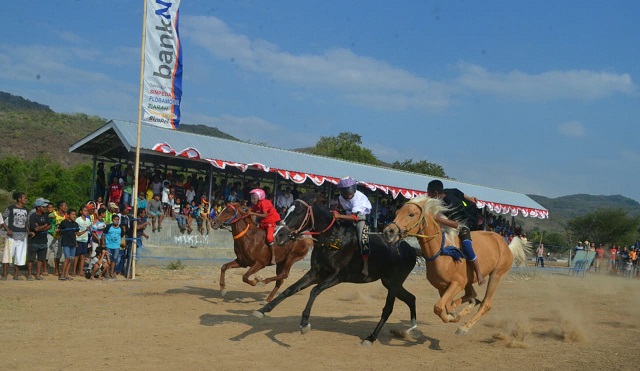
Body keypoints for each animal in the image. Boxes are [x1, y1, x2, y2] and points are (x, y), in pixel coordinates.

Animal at [252, 193, 422, 348]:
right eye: (287, 210)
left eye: (299, 212)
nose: (278, 235)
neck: (333, 238)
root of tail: (412, 249)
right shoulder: (316, 273)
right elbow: (290, 289)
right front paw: (263, 309)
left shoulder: (337, 276)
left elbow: (314, 291)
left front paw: (305, 323)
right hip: (390, 282)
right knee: (411, 298)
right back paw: (411, 329)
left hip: (393, 284)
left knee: (388, 309)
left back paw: (371, 337)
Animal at [382, 198, 528, 338]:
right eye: (397, 212)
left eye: (411, 214)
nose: (389, 231)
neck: (442, 254)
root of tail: (506, 245)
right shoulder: (442, 287)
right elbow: (445, 306)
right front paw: (454, 314)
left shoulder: (456, 284)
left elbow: (439, 307)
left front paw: (452, 316)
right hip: (469, 281)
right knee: (472, 295)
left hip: (496, 275)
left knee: (485, 304)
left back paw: (464, 327)